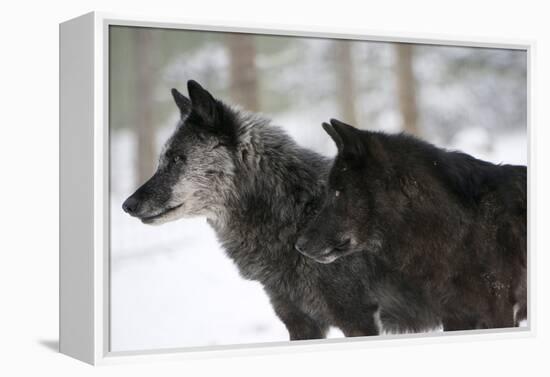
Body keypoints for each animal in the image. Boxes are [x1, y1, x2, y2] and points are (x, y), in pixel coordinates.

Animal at [123, 79, 438, 338]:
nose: (127, 205)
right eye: (162, 159)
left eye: (177, 159)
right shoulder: (298, 322)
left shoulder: (358, 320)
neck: (298, 215)